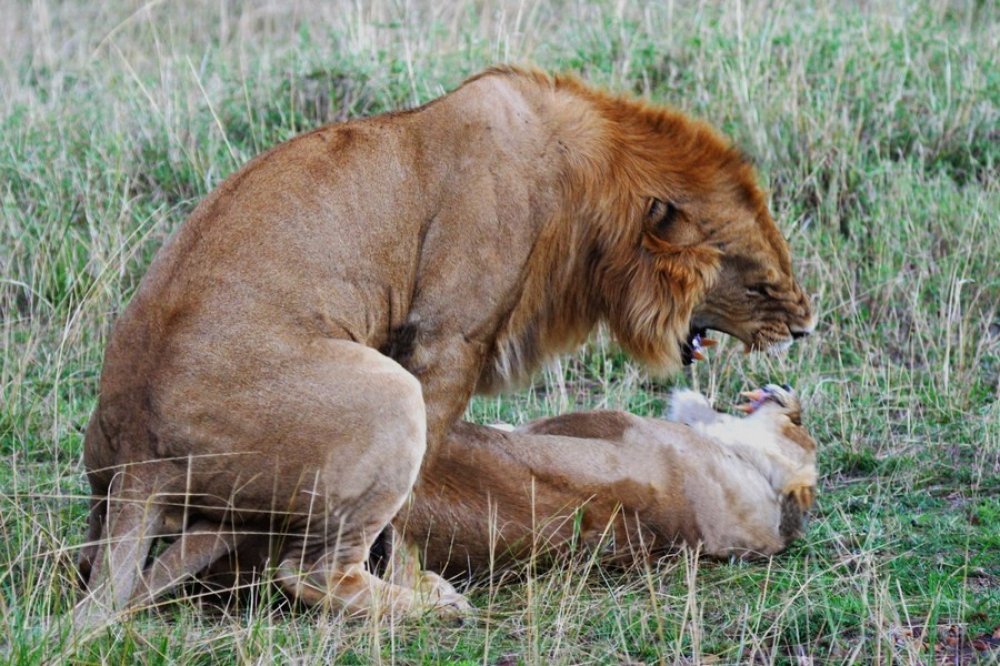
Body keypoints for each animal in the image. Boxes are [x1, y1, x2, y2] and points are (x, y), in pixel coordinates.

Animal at [76, 65, 812, 620]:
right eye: (761, 285)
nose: (806, 328)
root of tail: (138, 458)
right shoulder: (446, 343)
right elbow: (414, 494)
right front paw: (414, 578)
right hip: (386, 396)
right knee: (310, 572)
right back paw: (429, 609)